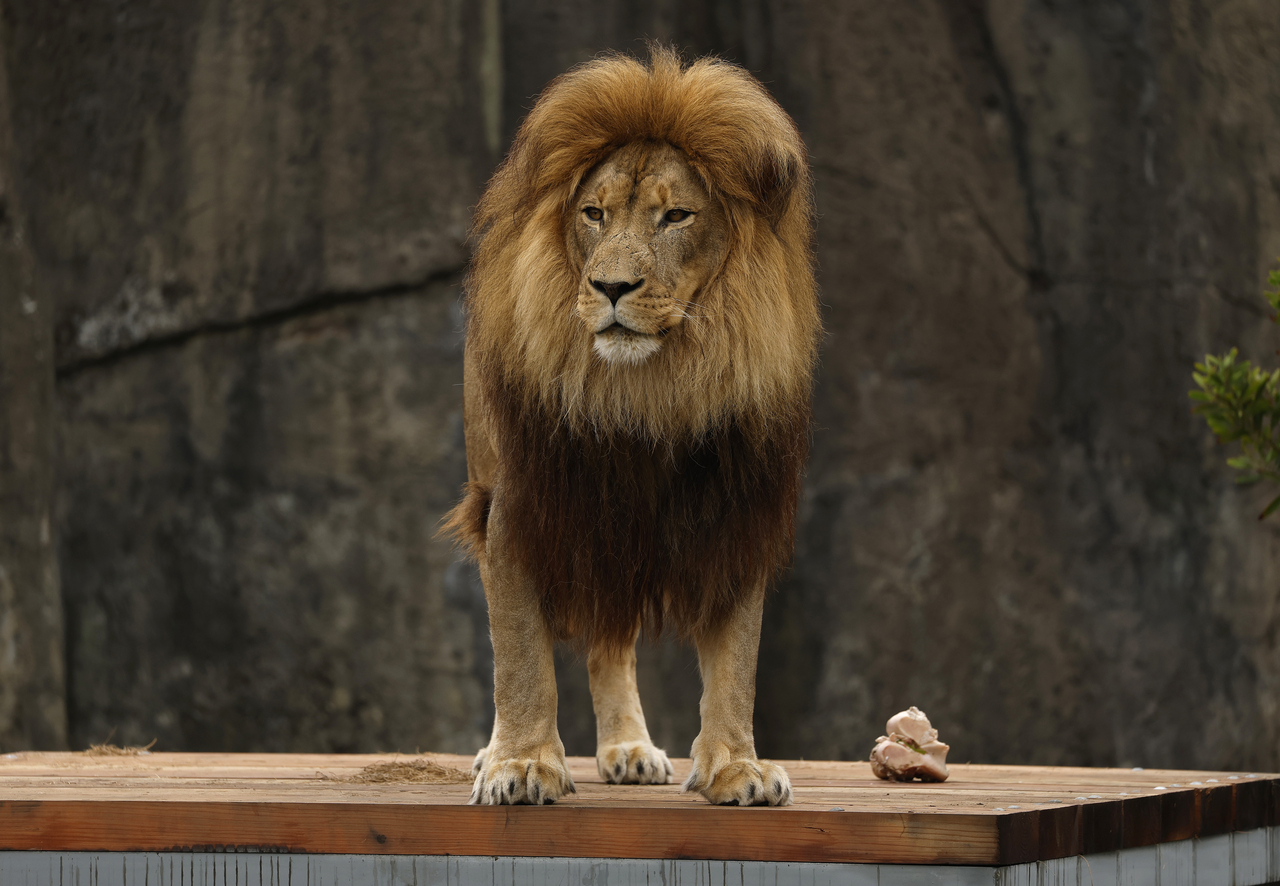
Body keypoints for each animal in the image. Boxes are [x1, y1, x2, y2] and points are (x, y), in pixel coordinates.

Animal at [443, 47, 819, 807]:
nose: (611, 288)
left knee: (610, 641)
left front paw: (736, 766)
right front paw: (521, 763)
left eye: (675, 215)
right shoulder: (521, 506)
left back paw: (629, 747)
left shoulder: (738, 510)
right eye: (594, 213)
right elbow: (519, 654)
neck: (651, 392)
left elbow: (737, 662)